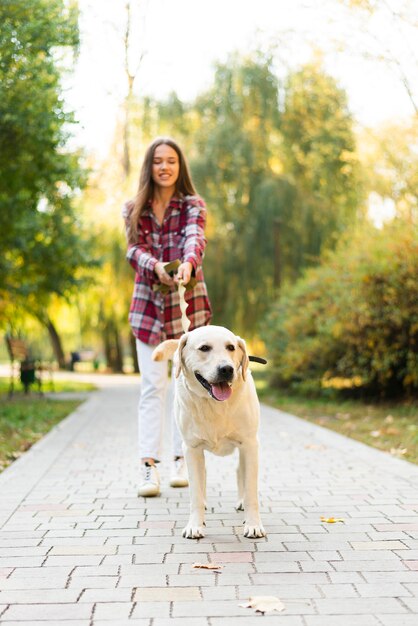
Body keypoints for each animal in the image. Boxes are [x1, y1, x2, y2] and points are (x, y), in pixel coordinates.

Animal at [152, 326, 266, 536]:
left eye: (231, 347)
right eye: (204, 348)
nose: (227, 369)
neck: (214, 404)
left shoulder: (250, 444)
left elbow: (251, 491)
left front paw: (253, 524)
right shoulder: (191, 448)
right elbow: (195, 492)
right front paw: (195, 525)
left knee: (241, 472)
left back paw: (241, 502)